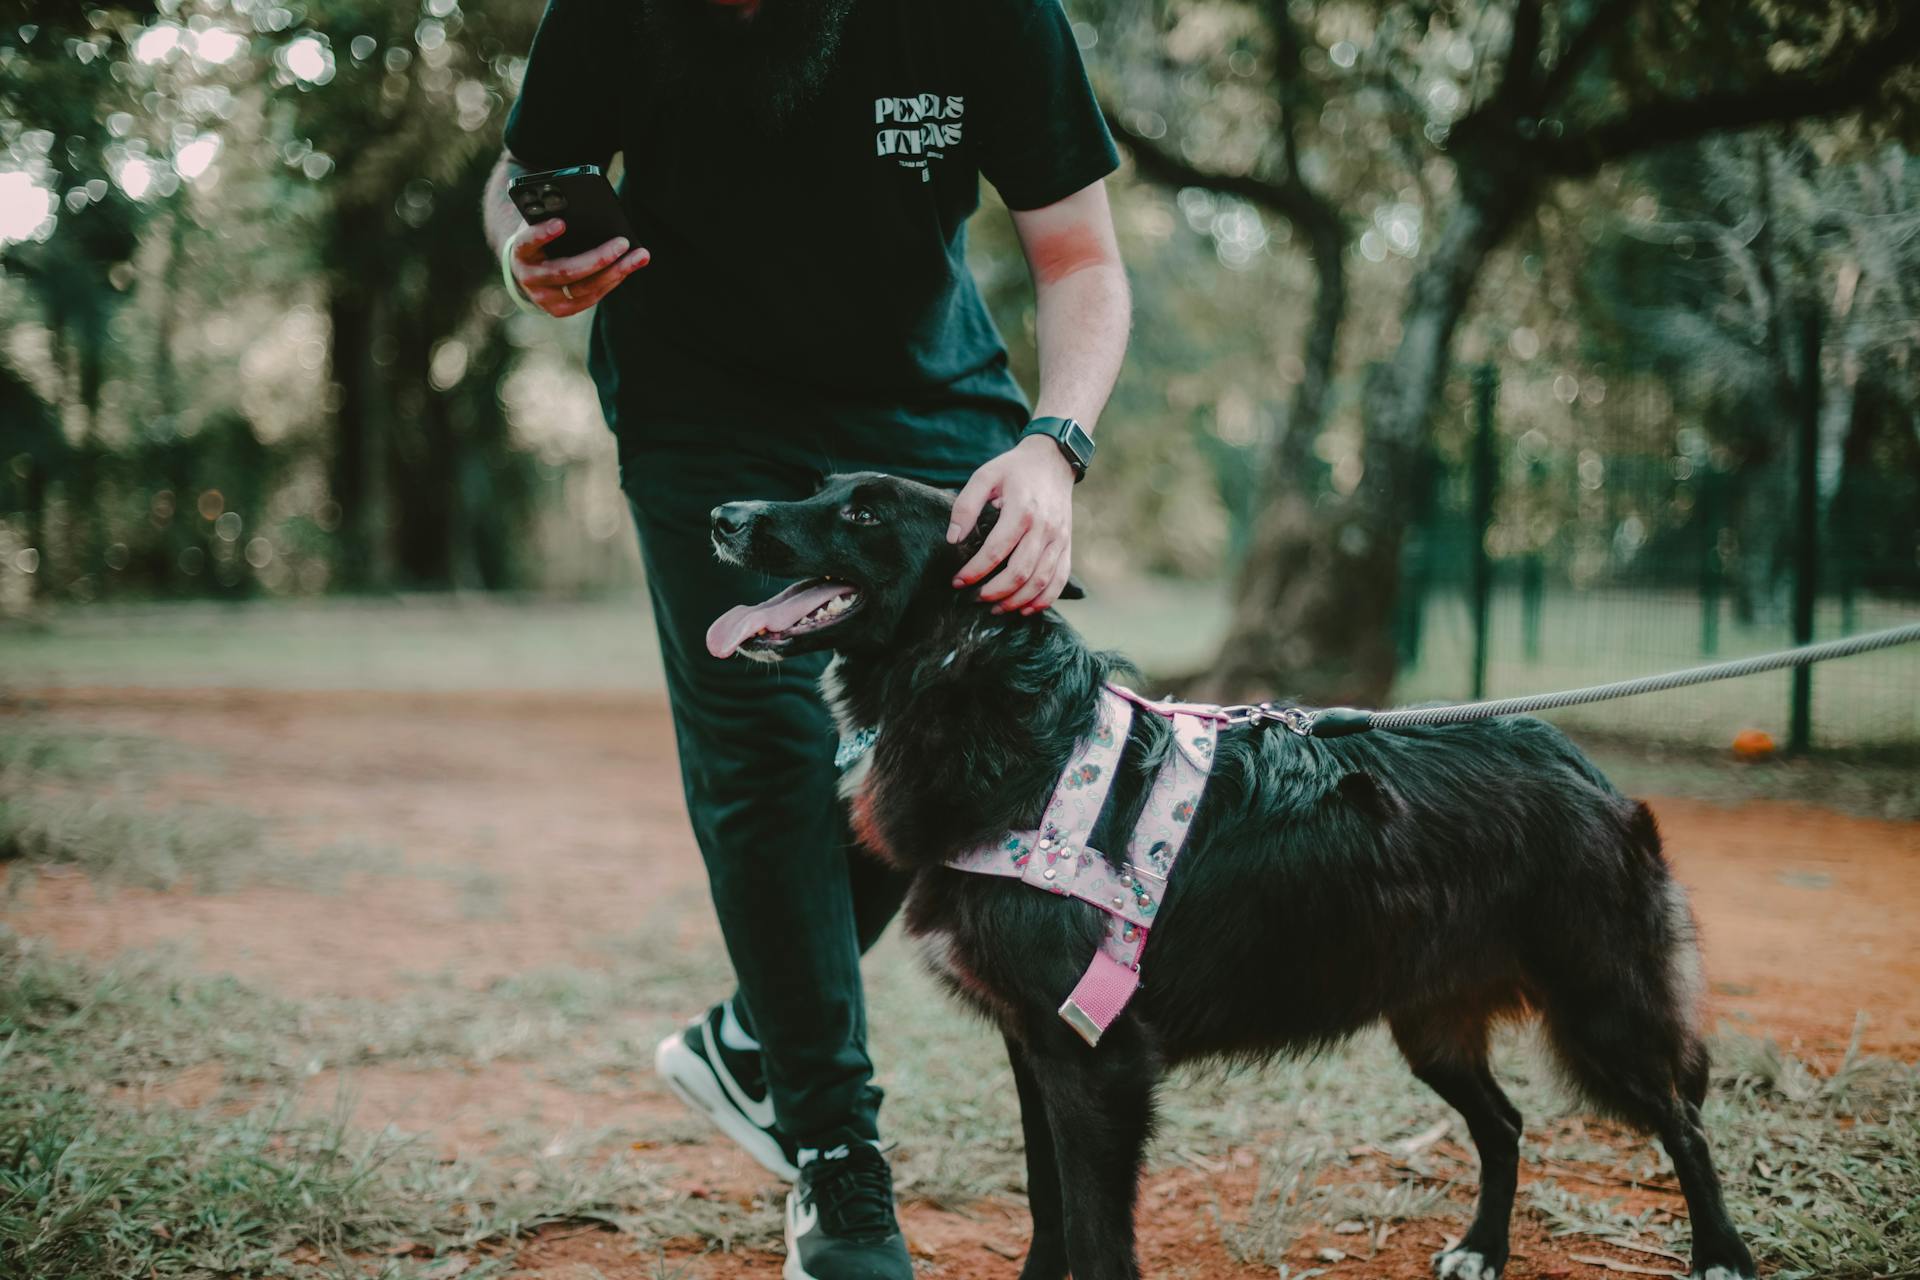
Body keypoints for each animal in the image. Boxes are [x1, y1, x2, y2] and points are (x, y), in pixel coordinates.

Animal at [702, 470, 1758, 1280]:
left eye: (864, 514)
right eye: (819, 488)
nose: (723, 516)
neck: (995, 712)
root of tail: (1584, 767)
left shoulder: (1096, 1059)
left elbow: (1097, 1234)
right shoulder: (1031, 1042)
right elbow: (1049, 1205)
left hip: (1601, 1007)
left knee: (1684, 1121)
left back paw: (1720, 1257)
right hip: (1429, 1019)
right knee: (1503, 1124)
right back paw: (1482, 1250)